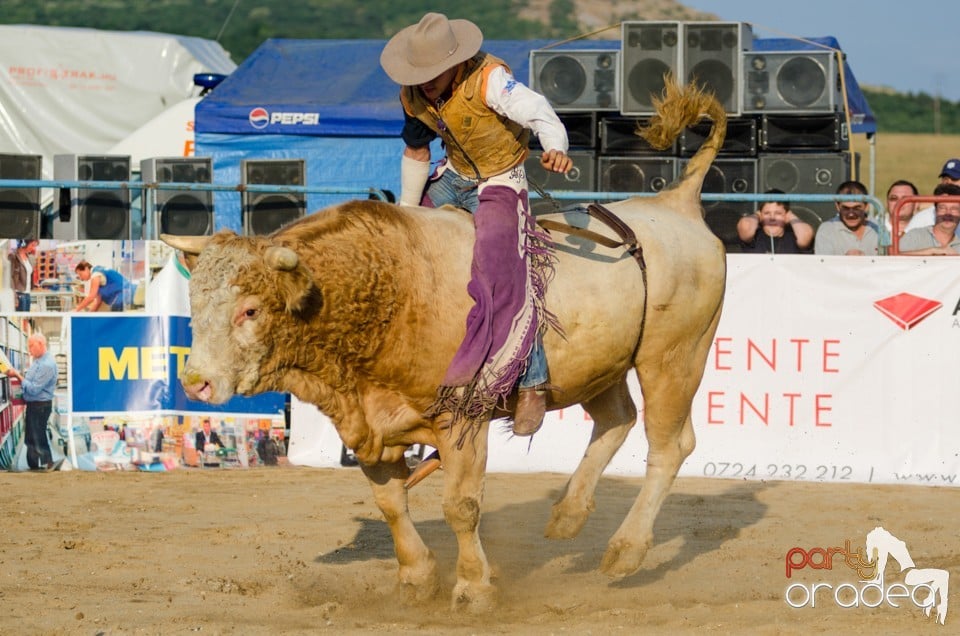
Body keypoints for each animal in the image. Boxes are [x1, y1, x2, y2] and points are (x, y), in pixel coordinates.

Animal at [161, 79, 724, 612]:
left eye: (250, 310)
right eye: (194, 300)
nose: (196, 383)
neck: (394, 289)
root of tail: (675, 203)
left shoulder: (461, 419)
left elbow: (461, 506)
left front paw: (473, 588)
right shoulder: (370, 419)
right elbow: (391, 502)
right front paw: (416, 578)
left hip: (673, 360)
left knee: (669, 446)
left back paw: (626, 549)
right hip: (600, 365)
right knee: (616, 421)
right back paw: (567, 515)